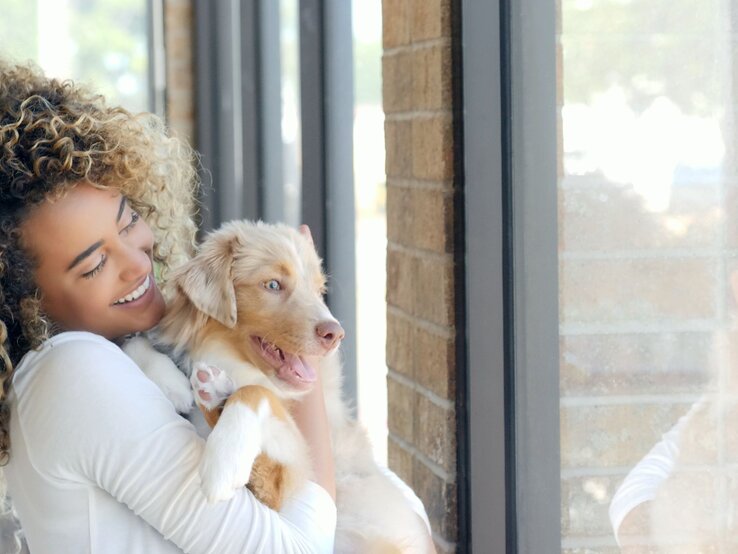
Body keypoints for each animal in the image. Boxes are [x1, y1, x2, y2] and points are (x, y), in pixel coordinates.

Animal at [134, 220, 428, 552]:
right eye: (273, 285)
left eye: (319, 291)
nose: (336, 334)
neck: (231, 361)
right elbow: (138, 340)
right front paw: (172, 382)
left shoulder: (287, 481)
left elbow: (256, 392)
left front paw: (223, 463)